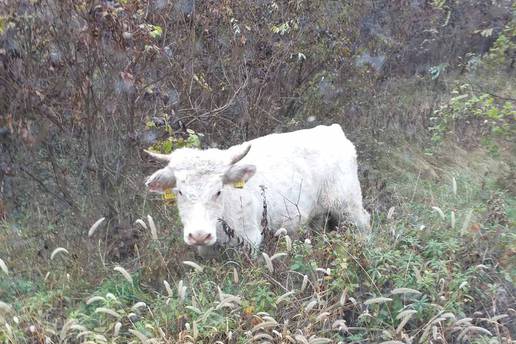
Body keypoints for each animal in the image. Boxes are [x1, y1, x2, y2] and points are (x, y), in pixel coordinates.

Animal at [145, 125, 368, 251]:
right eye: (180, 192)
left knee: (364, 223)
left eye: (218, 191)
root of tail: (332, 130)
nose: (200, 235)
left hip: (348, 205)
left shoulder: (250, 240)